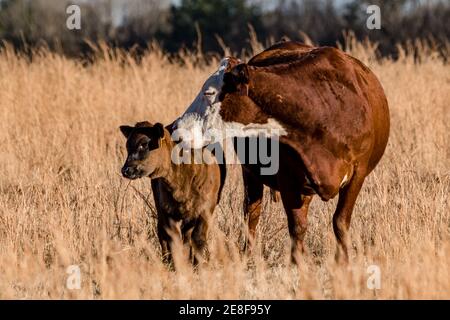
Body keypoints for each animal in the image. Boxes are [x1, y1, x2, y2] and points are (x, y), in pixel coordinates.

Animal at [121, 121, 223, 266]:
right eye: (127, 146)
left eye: (144, 144)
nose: (126, 170)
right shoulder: (167, 210)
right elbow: (173, 239)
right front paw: (177, 265)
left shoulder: (206, 209)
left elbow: (198, 239)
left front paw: (198, 267)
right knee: (163, 233)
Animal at [174, 41, 388, 264]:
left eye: (208, 93)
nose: (174, 127)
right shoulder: (288, 177)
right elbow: (297, 226)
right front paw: (297, 263)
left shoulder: (358, 174)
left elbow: (340, 221)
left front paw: (343, 261)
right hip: (251, 173)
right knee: (252, 213)